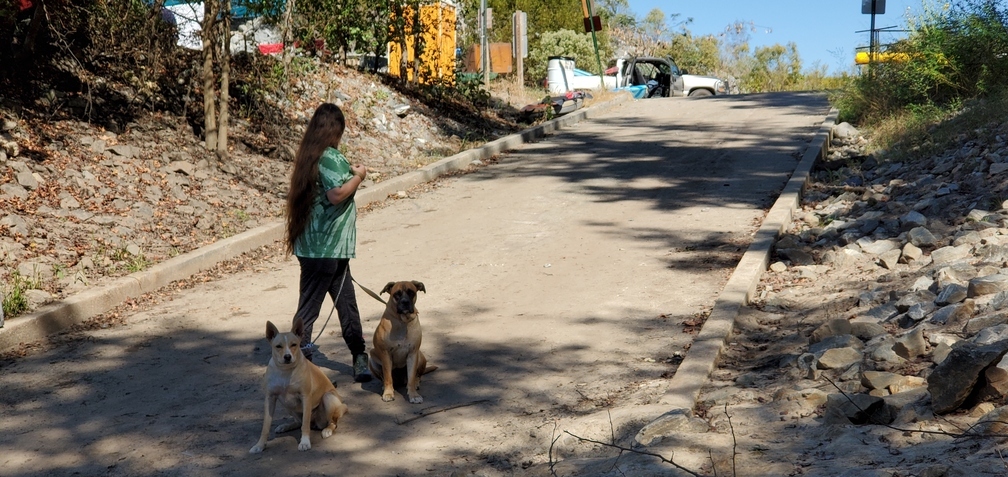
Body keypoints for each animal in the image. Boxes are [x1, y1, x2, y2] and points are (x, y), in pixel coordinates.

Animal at [249, 318, 348, 451]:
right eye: (278, 346)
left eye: (294, 345)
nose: (287, 356)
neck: (285, 372)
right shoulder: (270, 398)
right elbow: (265, 426)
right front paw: (259, 445)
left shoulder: (305, 397)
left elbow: (305, 424)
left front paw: (305, 442)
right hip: (287, 405)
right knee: (298, 422)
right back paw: (286, 426)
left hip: (328, 398)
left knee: (332, 422)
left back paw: (327, 430)